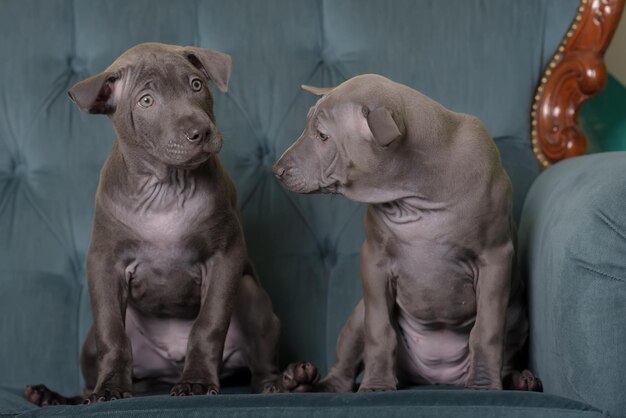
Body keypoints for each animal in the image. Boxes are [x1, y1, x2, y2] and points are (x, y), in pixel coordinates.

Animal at [24, 42, 310, 404]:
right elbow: (112, 334)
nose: (200, 132)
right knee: (89, 379)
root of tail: (168, 367)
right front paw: (111, 388)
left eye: (196, 85)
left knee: (260, 371)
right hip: (92, 342)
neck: (165, 189)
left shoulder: (225, 256)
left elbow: (208, 324)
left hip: (251, 297)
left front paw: (198, 381)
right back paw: (55, 397)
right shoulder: (104, 262)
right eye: (147, 101)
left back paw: (290, 381)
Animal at [272, 74, 540, 392]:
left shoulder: (495, 258)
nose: (276, 169)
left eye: (323, 136)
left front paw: (484, 385)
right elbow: (380, 331)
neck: (416, 196)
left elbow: (486, 332)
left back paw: (520, 380)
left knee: (506, 352)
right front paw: (376, 383)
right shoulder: (374, 260)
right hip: (359, 314)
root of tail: (436, 377)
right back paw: (305, 381)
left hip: (517, 318)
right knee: (343, 371)